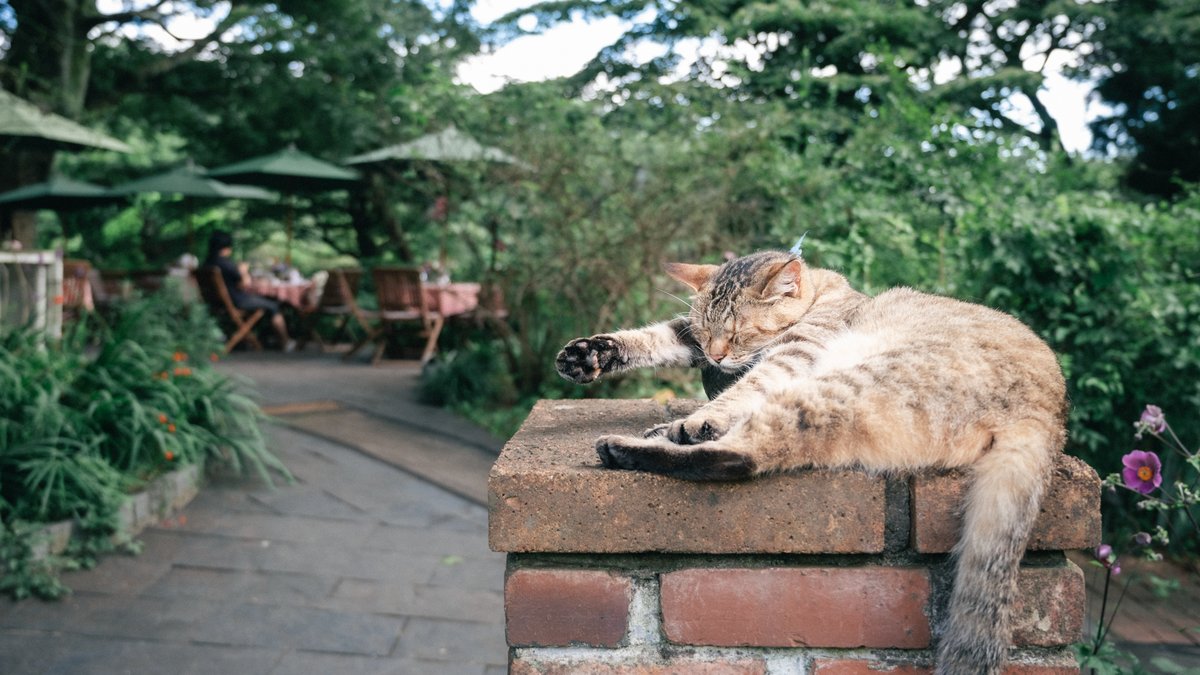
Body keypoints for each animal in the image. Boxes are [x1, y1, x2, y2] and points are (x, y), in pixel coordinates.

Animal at [552, 248, 1070, 672]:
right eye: (706, 331)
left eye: (740, 332)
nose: (716, 358)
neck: (826, 292)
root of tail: (1046, 416)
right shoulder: (695, 339)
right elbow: (658, 336)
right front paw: (588, 355)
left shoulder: (791, 353)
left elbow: (744, 389)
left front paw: (700, 417)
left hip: (840, 385)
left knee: (738, 456)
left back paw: (636, 444)